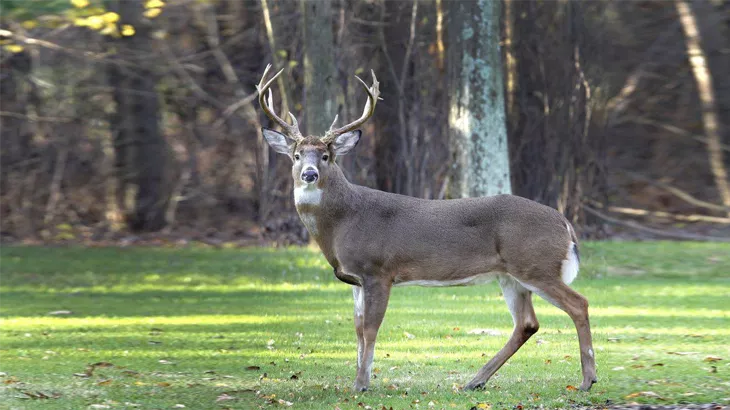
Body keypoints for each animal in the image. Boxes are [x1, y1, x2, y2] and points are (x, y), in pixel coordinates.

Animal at [256, 65, 598, 393]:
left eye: (326, 156)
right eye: (296, 156)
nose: (309, 174)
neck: (342, 222)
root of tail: (565, 224)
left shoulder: (378, 270)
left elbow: (370, 328)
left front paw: (363, 384)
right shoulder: (355, 279)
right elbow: (357, 329)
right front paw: (356, 379)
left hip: (535, 265)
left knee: (578, 303)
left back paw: (586, 380)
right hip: (511, 276)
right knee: (527, 323)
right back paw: (475, 381)